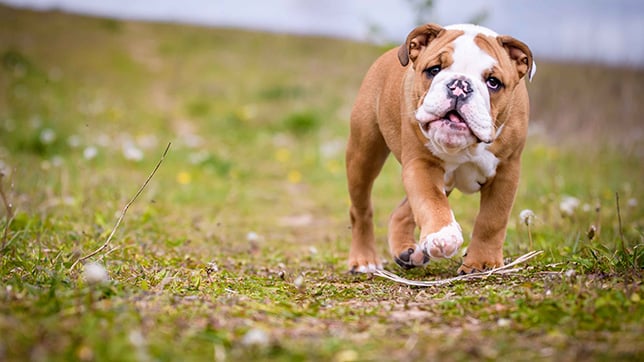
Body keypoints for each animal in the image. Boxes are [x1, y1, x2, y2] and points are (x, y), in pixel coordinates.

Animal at [344, 23, 536, 274]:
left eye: (493, 82)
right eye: (434, 70)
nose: (460, 86)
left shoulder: (506, 171)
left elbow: (492, 219)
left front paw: (482, 263)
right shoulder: (422, 165)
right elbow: (430, 201)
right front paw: (443, 236)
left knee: (401, 211)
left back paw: (407, 251)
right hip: (364, 153)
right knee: (361, 210)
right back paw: (364, 259)